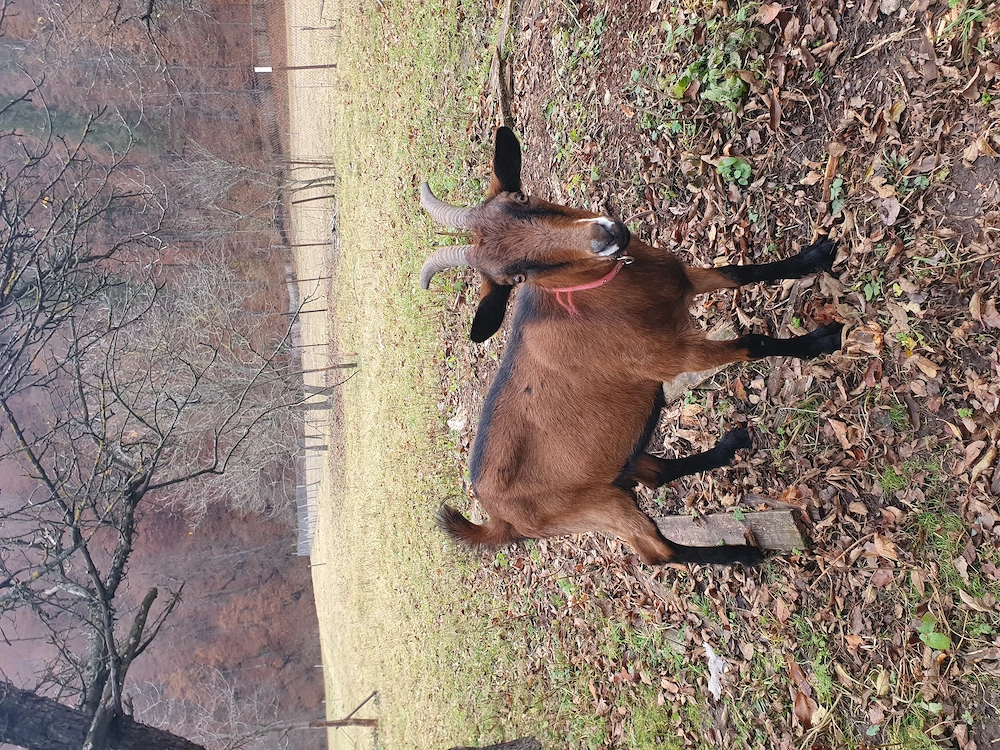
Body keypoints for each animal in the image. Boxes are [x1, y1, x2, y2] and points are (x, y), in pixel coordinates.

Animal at [420, 127, 842, 566]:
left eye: (521, 199)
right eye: (517, 276)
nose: (606, 235)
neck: (604, 298)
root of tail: (496, 518)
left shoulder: (684, 279)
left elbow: (738, 272)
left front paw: (813, 256)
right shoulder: (675, 356)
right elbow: (752, 342)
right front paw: (822, 340)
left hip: (614, 465)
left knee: (655, 475)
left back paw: (728, 448)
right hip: (597, 507)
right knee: (657, 551)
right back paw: (741, 554)